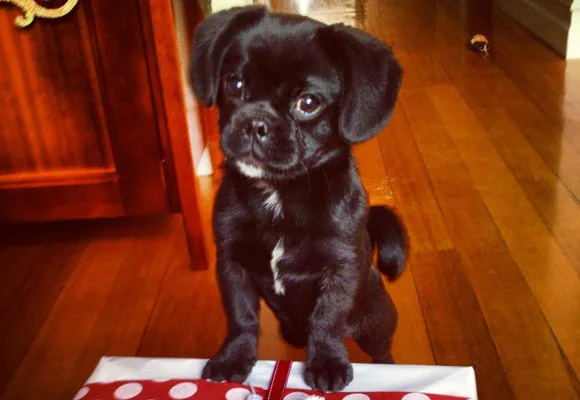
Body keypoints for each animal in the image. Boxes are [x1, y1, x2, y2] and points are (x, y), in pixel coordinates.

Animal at [189, 6, 407, 393]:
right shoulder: (231, 263)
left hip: (375, 322)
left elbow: (328, 318)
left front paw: (327, 363)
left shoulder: (340, 269)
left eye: (308, 103)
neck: (280, 193)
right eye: (235, 84)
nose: (255, 123)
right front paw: (233, 358)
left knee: (381, 348)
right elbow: (241, 315)